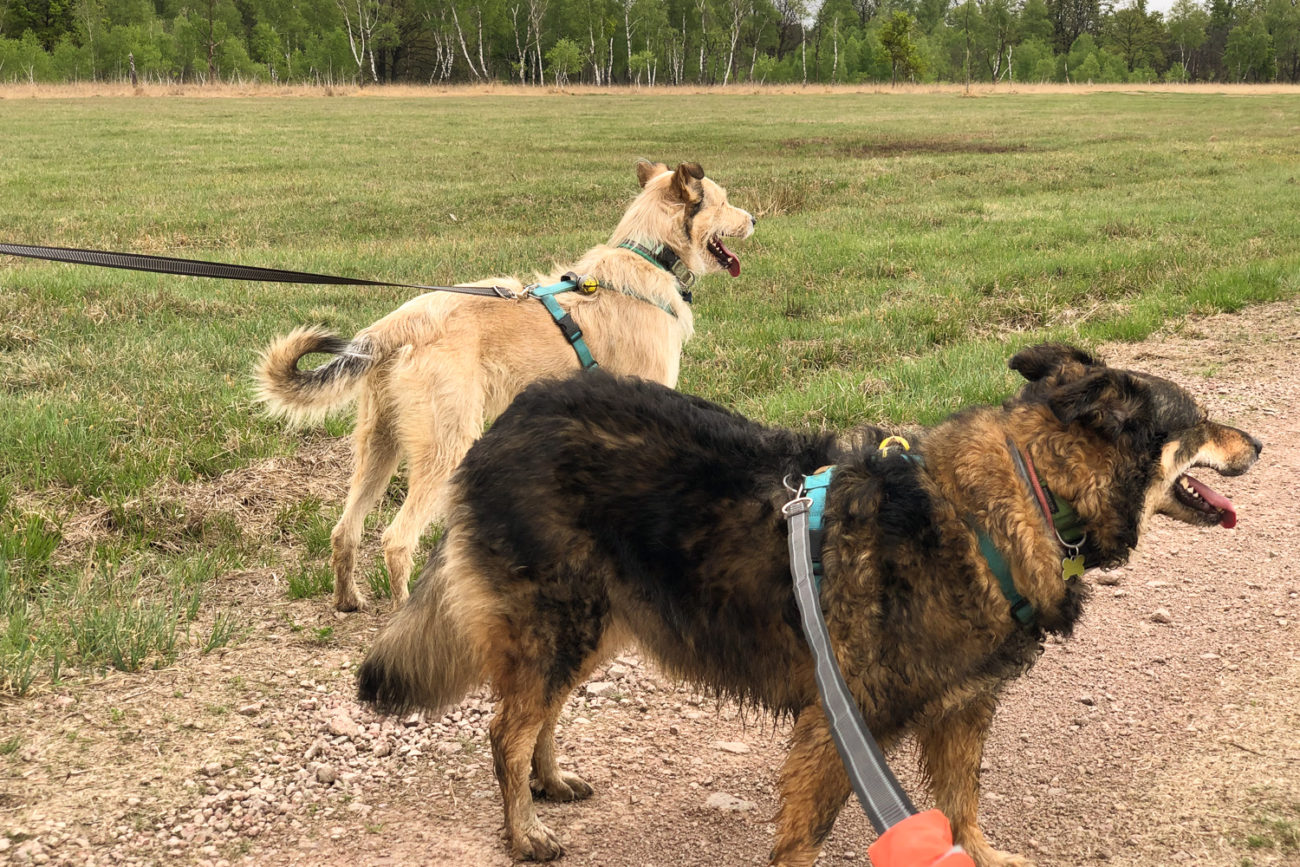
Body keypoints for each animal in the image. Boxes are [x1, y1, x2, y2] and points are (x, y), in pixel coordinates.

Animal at [256, 161, 754, 610]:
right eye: (723, 201)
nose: (754, 219)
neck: (648, 256)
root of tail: (399, 322)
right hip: (446, 447)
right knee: (396, 540)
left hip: (379, 445)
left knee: (345, 531)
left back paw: (347, 600)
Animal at [356, 345, 1258, 867]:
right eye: (1198, 419)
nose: (1259, 441)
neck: (1029, 493)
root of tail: (511, 416)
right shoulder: (843, 720)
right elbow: (806, 833)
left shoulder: (961, 709)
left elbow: (963, 803)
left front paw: (983, 853)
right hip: (559, 618)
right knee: (507, 727)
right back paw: (524, 830)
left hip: (598, 621)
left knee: (539, 714)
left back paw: (549, 782)